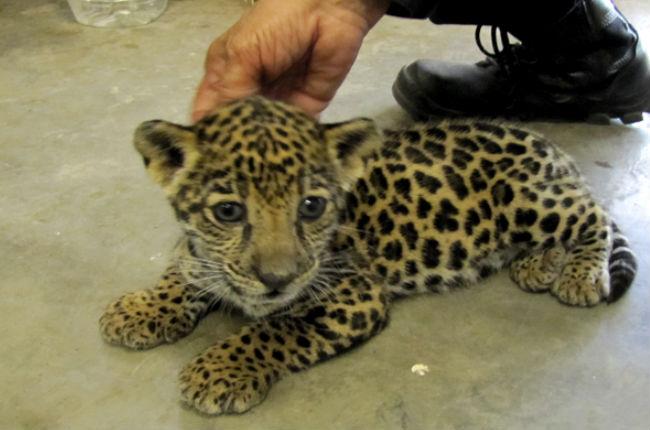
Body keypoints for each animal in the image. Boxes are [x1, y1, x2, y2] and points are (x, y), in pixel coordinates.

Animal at [100, 96, 637, 415]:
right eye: (228, 211)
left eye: (311, 206)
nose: (278, 279)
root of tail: (545, 143)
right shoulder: (205, 255)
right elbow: (185, 268)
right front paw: (140, 309)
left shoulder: (354, 296)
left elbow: (275, 329)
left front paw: (220, 370)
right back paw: (537, 265)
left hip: (529, 201)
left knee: (595, 215)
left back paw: (580, 276)